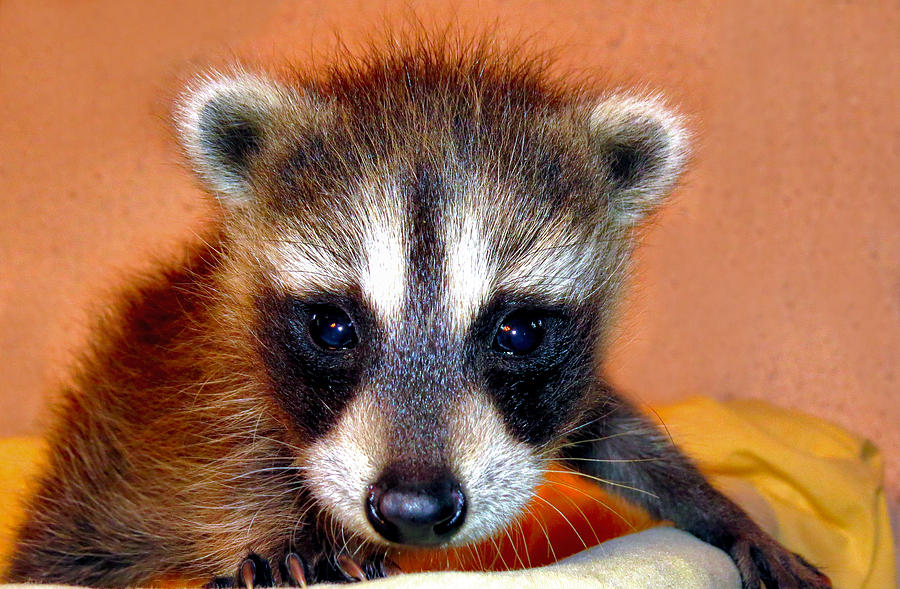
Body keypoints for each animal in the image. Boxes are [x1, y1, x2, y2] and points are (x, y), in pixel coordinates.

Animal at [7, 40, 828, 588]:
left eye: (517, 331)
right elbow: (220, 455)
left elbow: (613, 431)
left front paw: (719, 509)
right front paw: (273, 531)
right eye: (333, 326)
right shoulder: (213, 358)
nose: (411, 507)